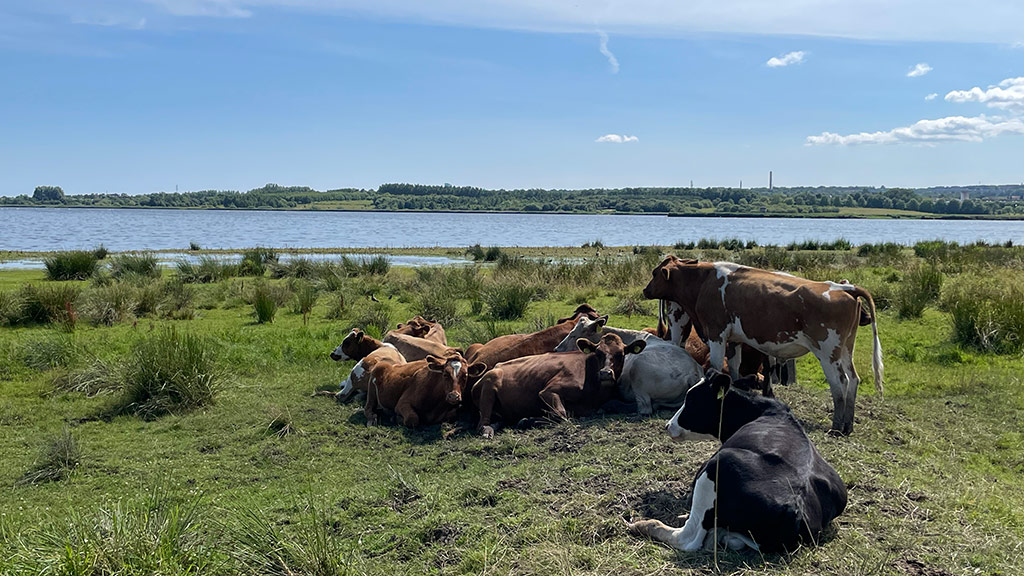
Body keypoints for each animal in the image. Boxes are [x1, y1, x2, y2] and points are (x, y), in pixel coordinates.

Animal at [473, 333, 646, 438]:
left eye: (621, 354)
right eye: (598, 353)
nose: (605, 373)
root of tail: (496, 365)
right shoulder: (548, 391)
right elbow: (561, 414)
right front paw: (528, 420)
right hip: (490, 383)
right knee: (481, 423)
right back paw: (488, 430)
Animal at [628, 371, 847, 553]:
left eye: (691, 400)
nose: (668, 425)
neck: (764, 409)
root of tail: (796, 508)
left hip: (718, 466)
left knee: (689, 538)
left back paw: (642, 525)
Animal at [643, 256, 882, 435]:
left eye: (655, 273)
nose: (645, 290)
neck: (703, 281)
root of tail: (844, 288)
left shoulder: (717, 334)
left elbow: (716, 368)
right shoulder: (735, 340)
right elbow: (735, 370)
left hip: (827, 353)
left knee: (840, 383)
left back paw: (837, 427)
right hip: (845, 350)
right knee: (853, 379)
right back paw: (848, 425)